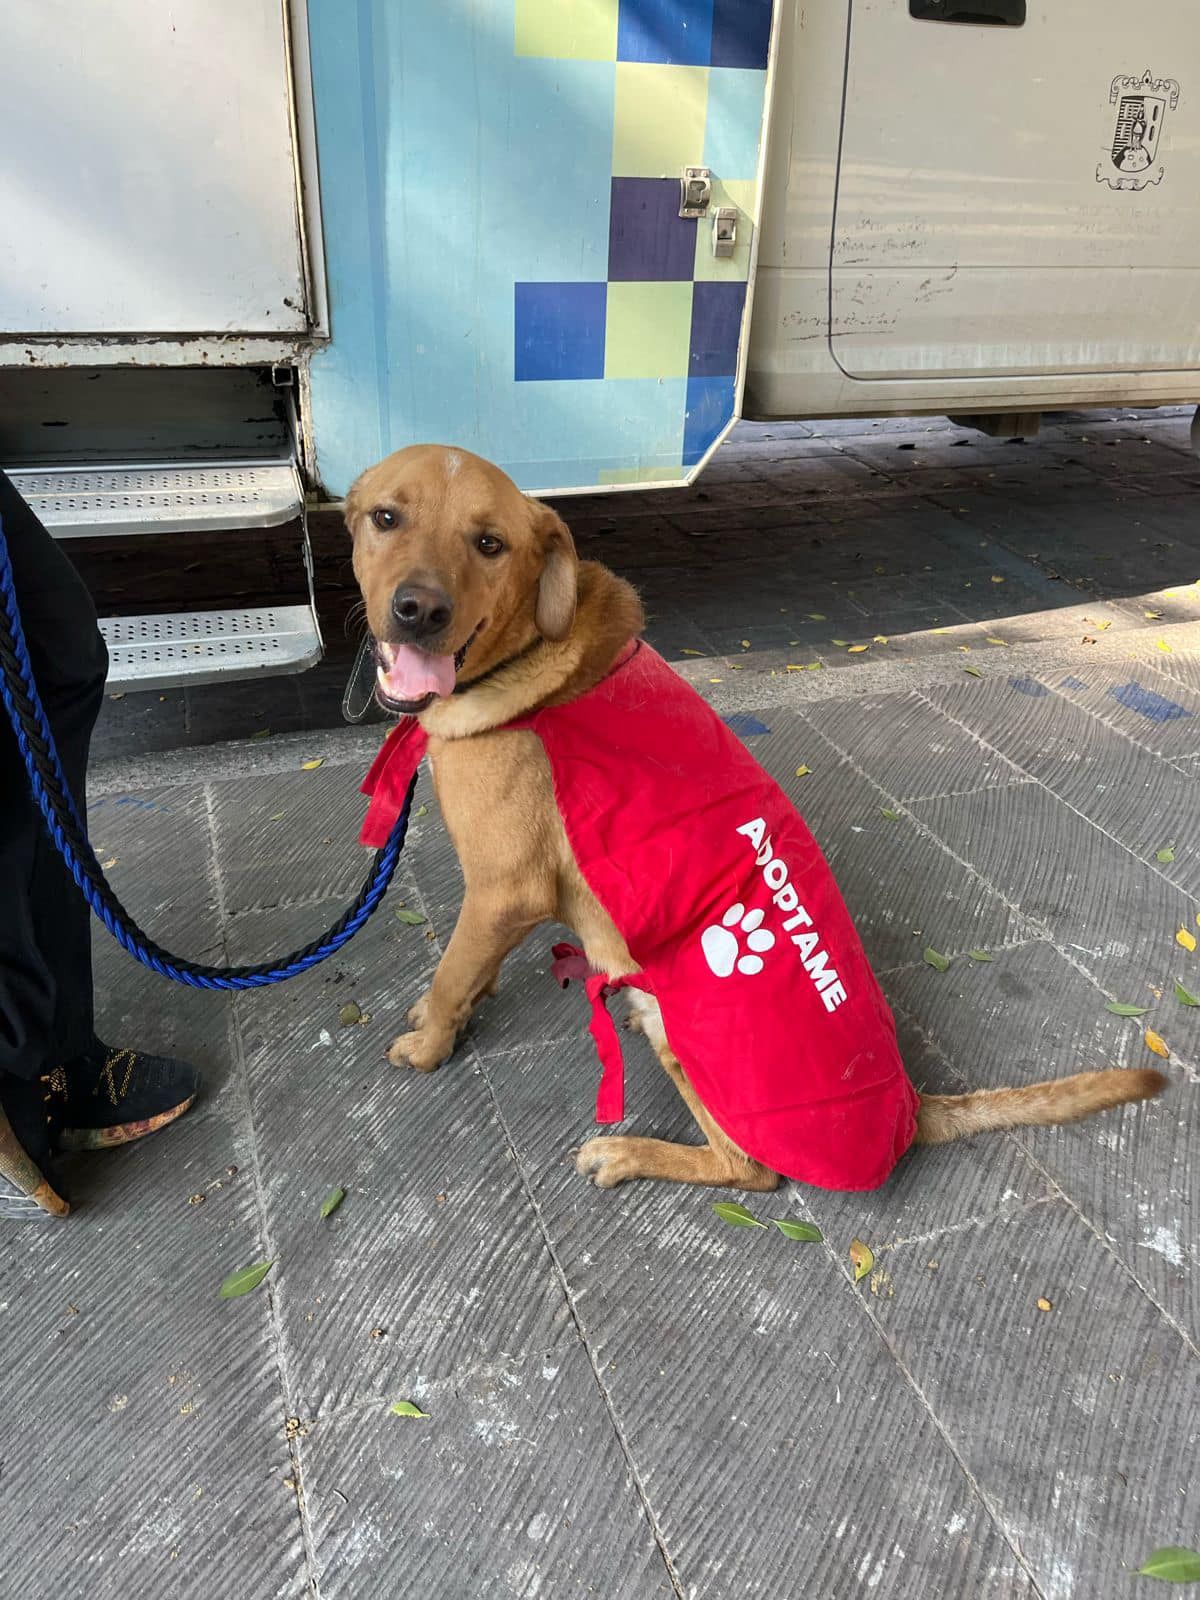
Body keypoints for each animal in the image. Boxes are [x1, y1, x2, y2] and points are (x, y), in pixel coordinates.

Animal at [342, 444, 1171, 1196]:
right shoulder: (497, 902)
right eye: (386, 518)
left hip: (688, 1040)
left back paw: (629, 1152)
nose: (419, 612)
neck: (529, 662)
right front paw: (460, 1011)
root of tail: (912, 1108)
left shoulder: (503, 891)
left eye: (490, 544)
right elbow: (470, 971)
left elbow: (452, 973)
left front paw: (429, 1043)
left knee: (752, 1171)